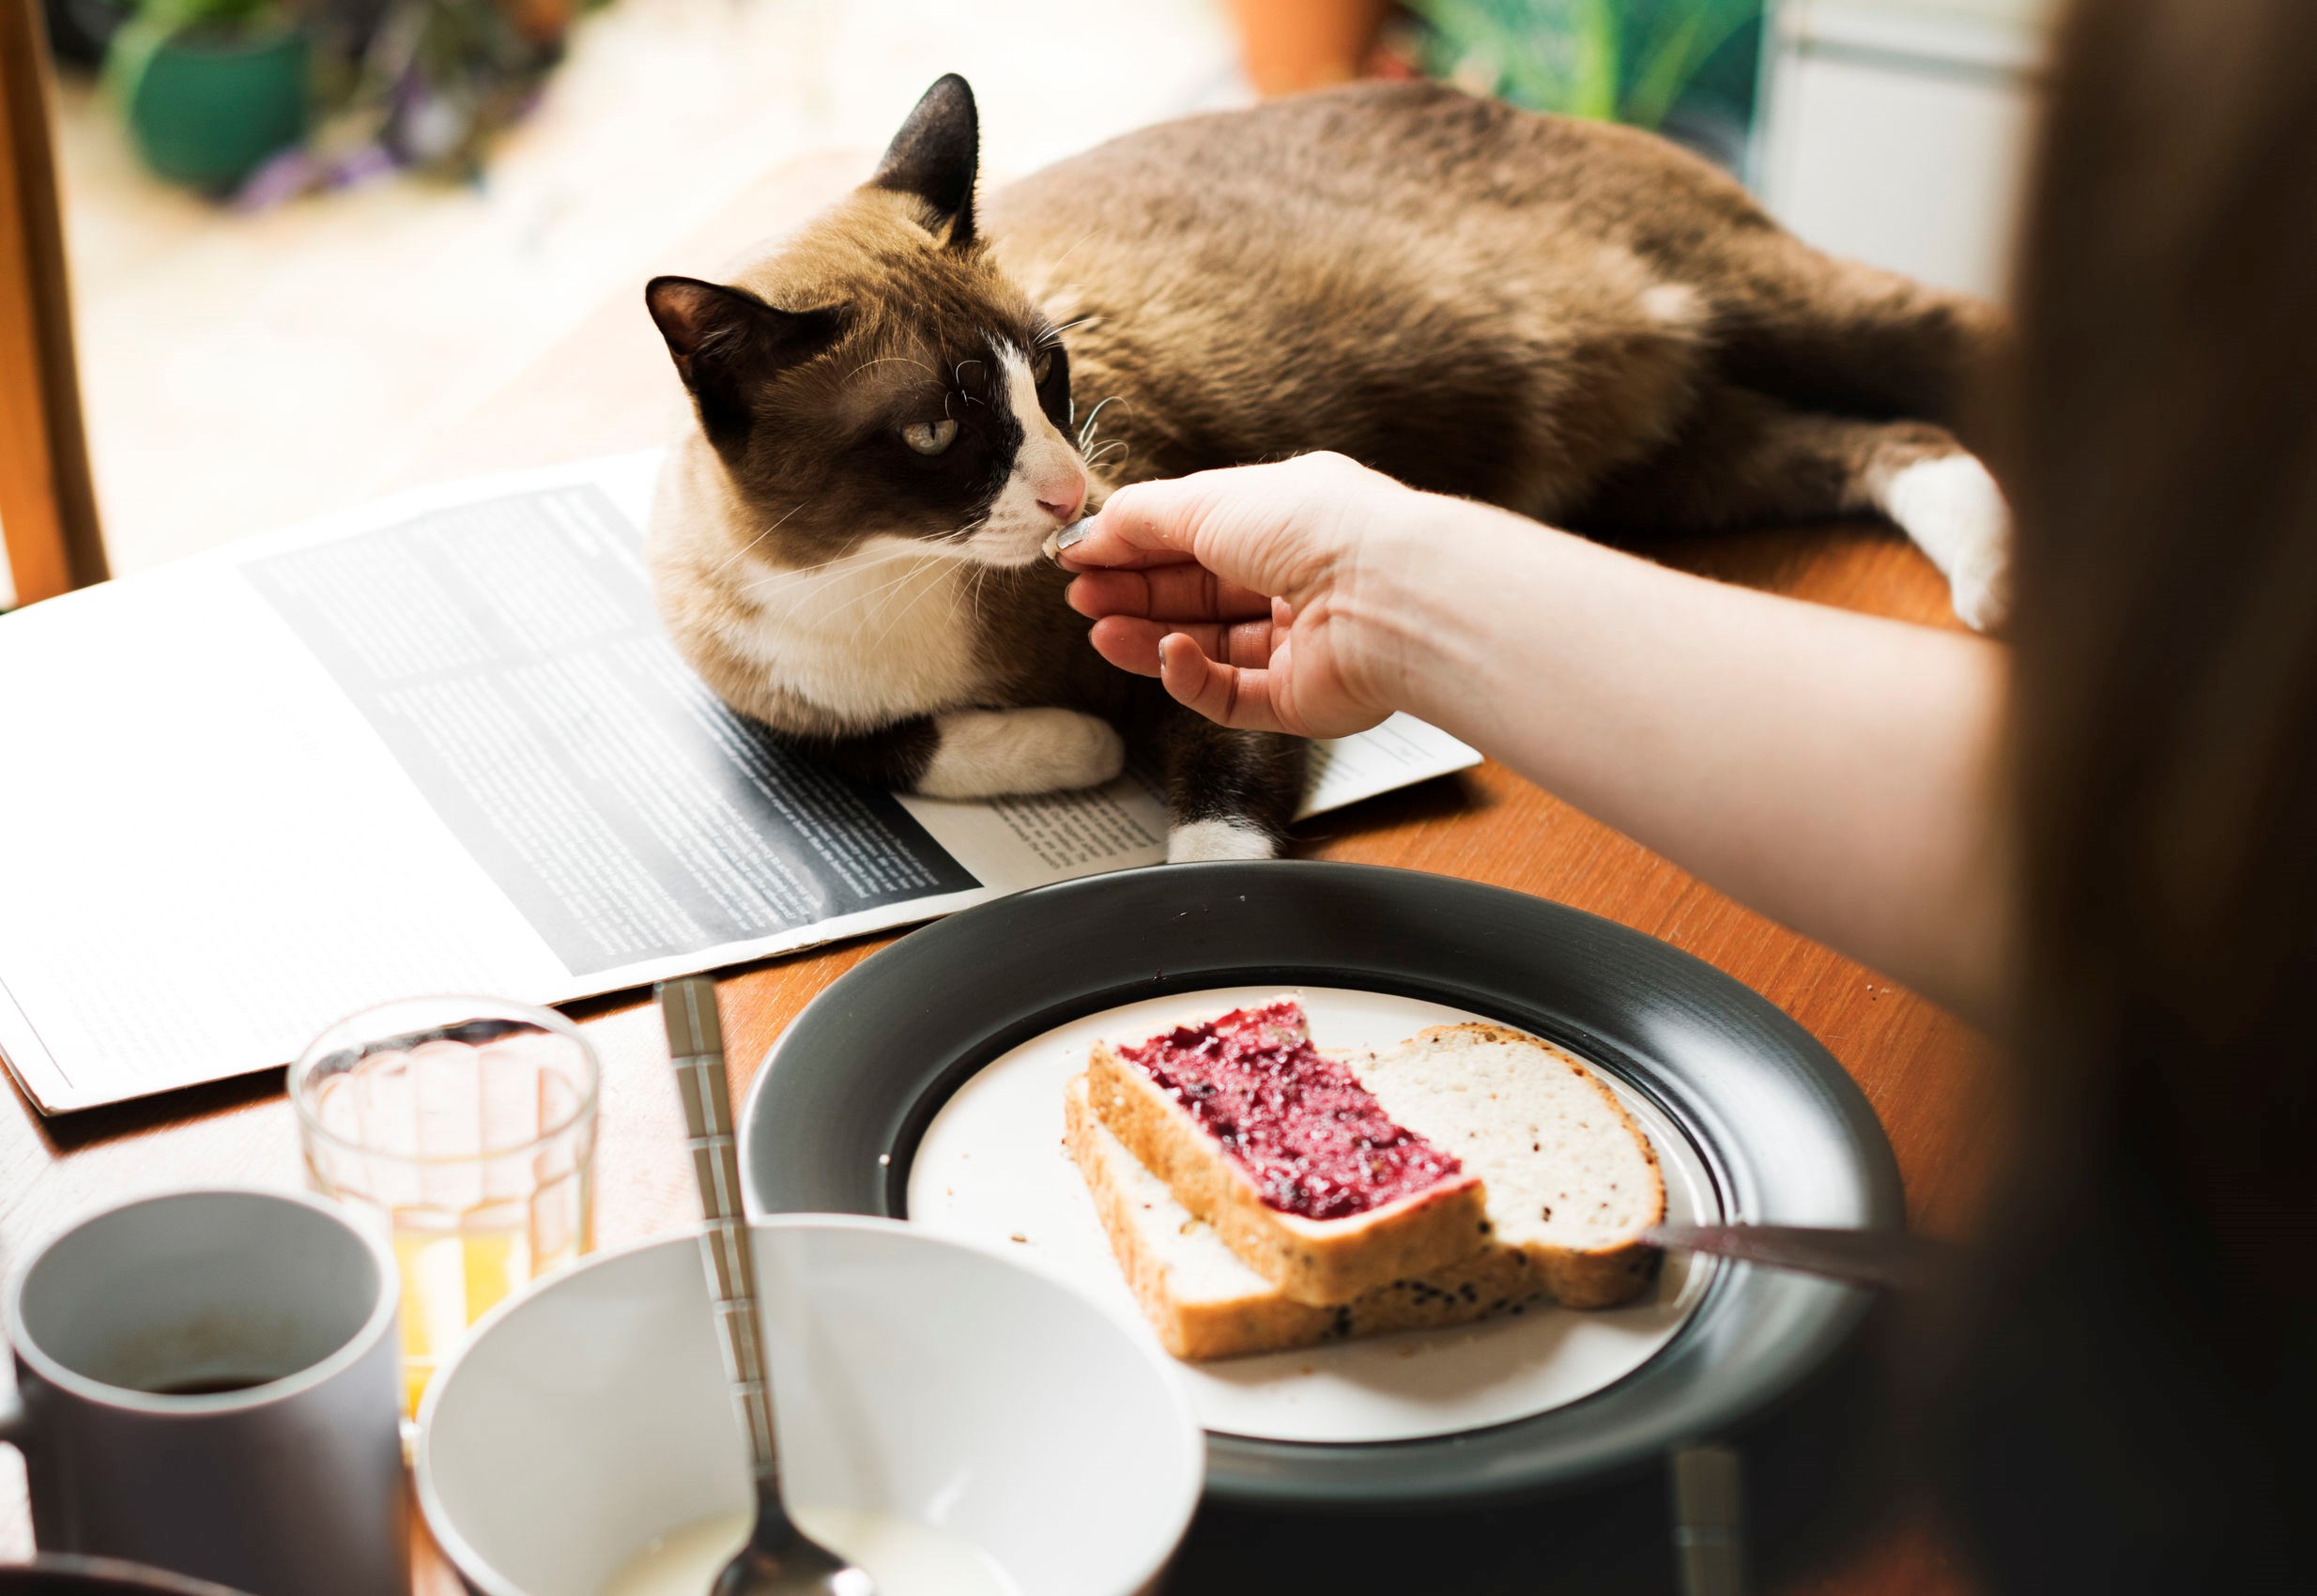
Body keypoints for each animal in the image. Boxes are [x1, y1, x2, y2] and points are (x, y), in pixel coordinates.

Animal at [639, 74, 2011, 856]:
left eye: (1050, 373)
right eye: (935, 430)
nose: (1073, 494)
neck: (882, 582)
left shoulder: (1218, 648)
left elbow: (1217, 824)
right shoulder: (761, 708)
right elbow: (871, 748)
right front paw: (1069, 747)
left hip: (1782, 305)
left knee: (1951, 346)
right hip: (1666, 480)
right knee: (1883, 444)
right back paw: (1988, 568)